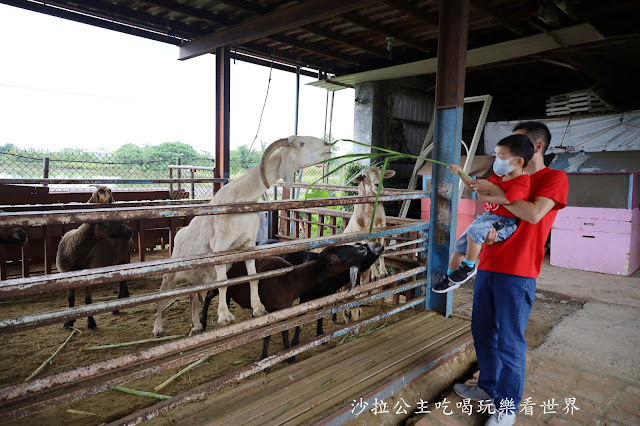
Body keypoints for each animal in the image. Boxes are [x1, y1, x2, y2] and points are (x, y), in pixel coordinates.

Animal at [150, 136, 330, 336]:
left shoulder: (249, 244)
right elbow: (223, 282)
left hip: (195, 278)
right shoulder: (220, 246)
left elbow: (252, 276)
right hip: (171, 274)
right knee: (161, 299)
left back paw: (196, 326)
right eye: (301, 144)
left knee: (193, 297)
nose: (328, 146)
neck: (242, 197)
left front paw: (258, 308)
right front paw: (224, 317)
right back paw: (157, 329)